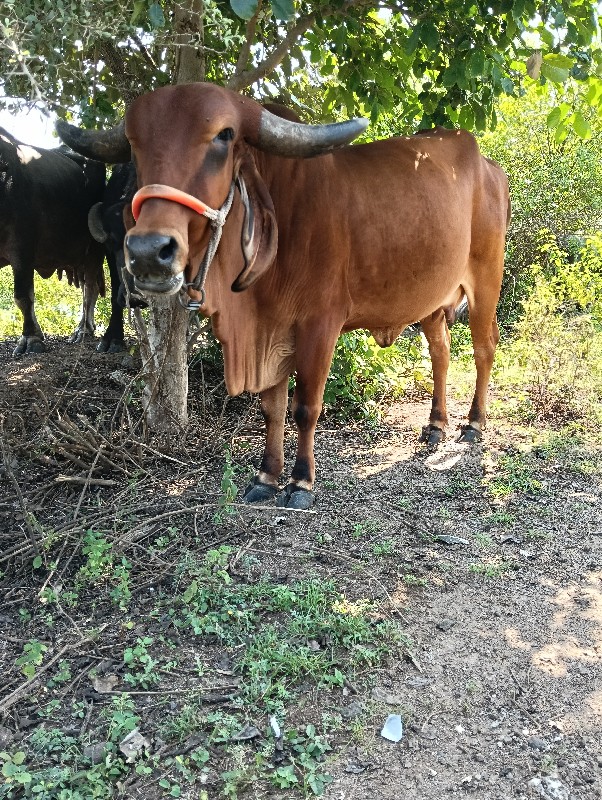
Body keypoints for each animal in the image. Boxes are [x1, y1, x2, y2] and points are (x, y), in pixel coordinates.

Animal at [0, 127, 105, 354]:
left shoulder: (22, 249)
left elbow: (23, 296)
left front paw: (31, 338)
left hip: (94, 248)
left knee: (90, 287)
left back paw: (83, 329)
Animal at [56, 84, 508, 510]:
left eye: (224, 136)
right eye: (134, 144)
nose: (149, 251)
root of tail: (489, 167)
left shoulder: (320, 325)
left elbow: (305, 407)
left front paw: (301, 482)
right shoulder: (268, 331)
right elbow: (271, 409)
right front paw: (266, 476)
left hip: (486, 280)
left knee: (484, 348)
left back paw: (474, 423)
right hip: (432, 299)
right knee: (441, 353)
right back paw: (436, 425)